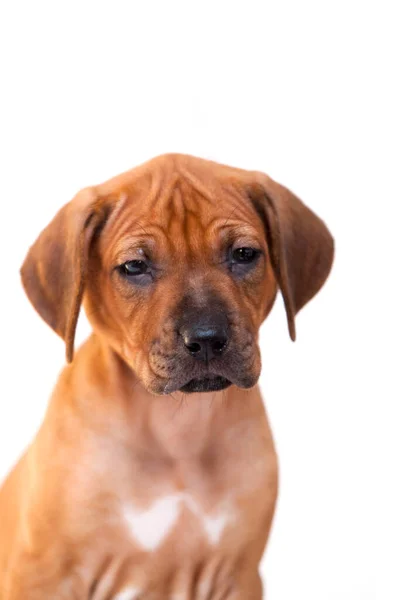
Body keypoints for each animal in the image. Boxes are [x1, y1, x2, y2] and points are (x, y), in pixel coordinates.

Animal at [0, 152, 334, 596]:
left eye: (244, 254)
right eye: (134, 266)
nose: (207, 339)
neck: (175, 431)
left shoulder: (238, 575)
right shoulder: (43, 573)